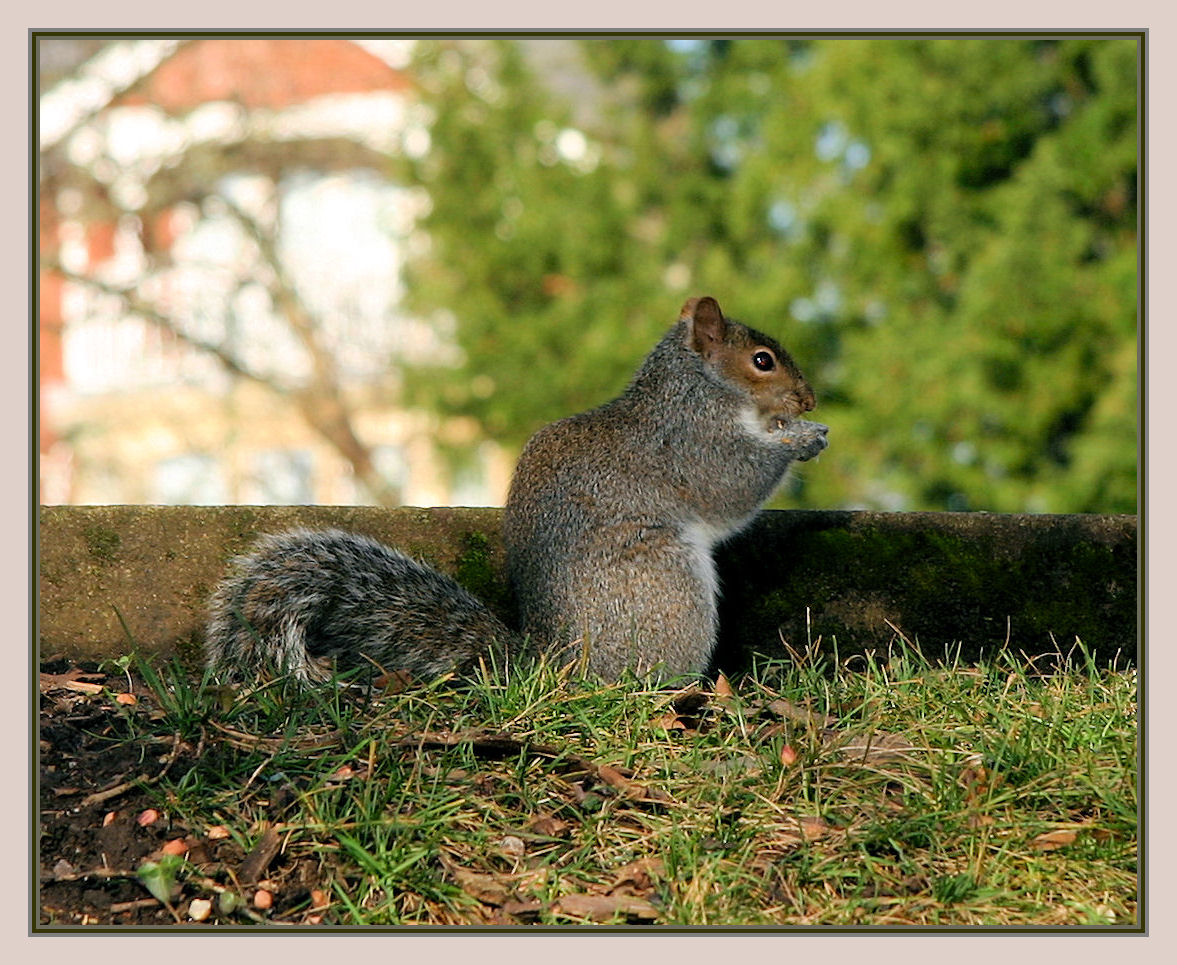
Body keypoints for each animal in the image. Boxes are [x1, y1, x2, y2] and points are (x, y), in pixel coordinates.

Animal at [202, 294, 828, 687]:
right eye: (762, 361)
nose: (809, 400)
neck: (697, 390)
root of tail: (552, 664)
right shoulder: (692, 445)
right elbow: (732, 486)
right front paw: (799, 440)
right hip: (668, 591)